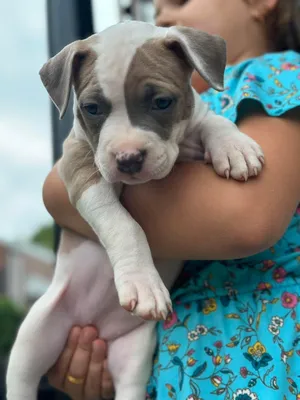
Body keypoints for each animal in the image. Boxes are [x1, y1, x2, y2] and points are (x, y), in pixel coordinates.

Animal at [5, 21, 264, 400]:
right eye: (91, 108)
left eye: (161, 102)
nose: (128, 159)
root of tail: (93, 324)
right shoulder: (82, 170)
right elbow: (123, 224)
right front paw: (142, 283)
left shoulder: (194, 120)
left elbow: (213, 121)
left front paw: (235, 147)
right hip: (35, 336)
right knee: (21, 378)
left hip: (134, 357)